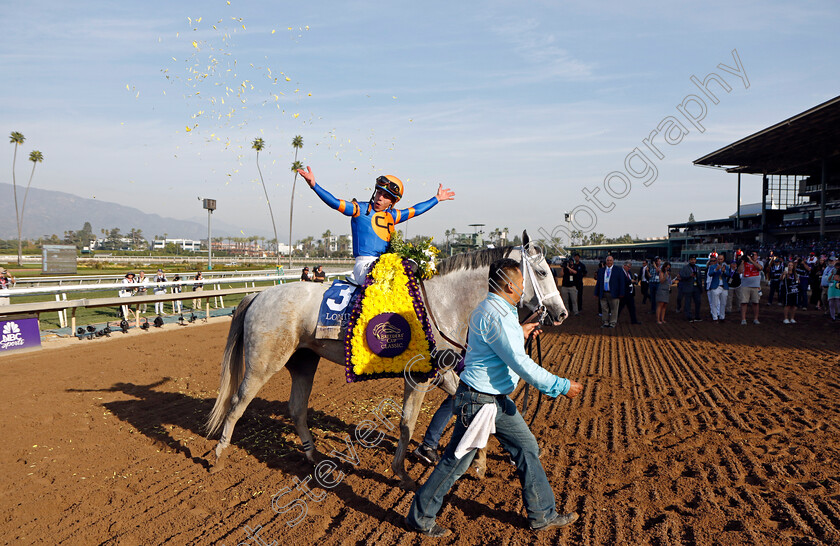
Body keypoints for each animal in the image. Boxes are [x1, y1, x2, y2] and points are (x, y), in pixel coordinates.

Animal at [206, 232, 568, 486]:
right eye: (541, 271)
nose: (561, 313)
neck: (442, 302)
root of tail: (258, 294)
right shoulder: (421, 377)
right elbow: (407, 423)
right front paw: (402, 472)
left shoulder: (444, 373)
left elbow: (472, 408)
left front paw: (477, 463)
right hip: (263, 363)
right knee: (237, 403)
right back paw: (219, 456)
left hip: (304, 362)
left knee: (296, 408)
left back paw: (313, 456)